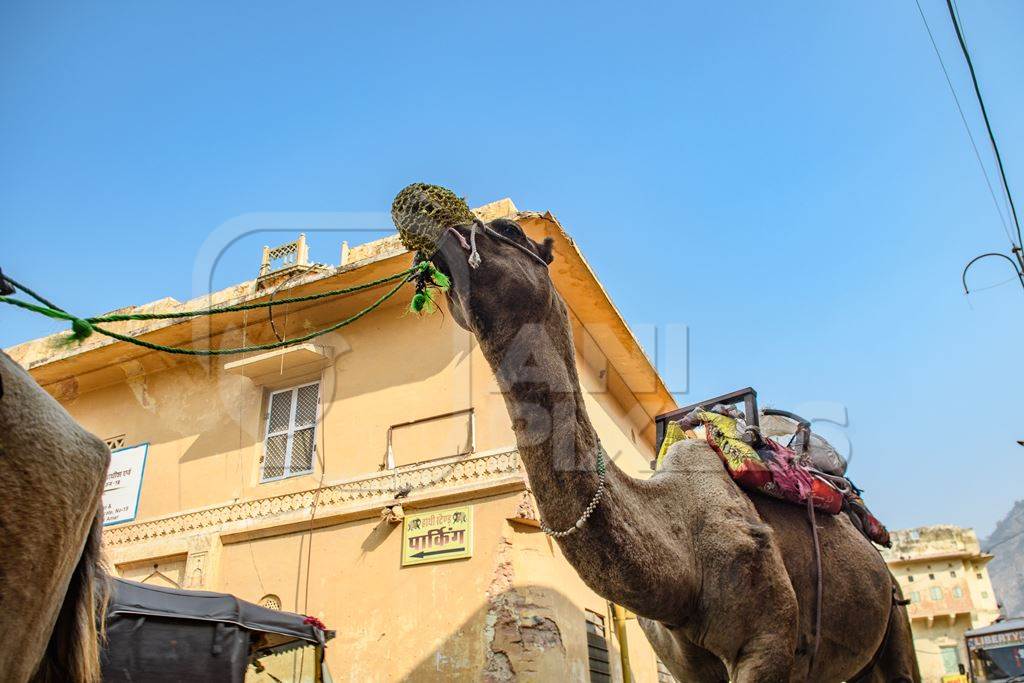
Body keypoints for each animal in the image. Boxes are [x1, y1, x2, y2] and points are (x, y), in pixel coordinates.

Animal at [393, 184, 921, 679]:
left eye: (509, 230)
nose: (415, 198)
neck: (681, 557)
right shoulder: (687, 662)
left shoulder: (767, 642)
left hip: (894, 616)